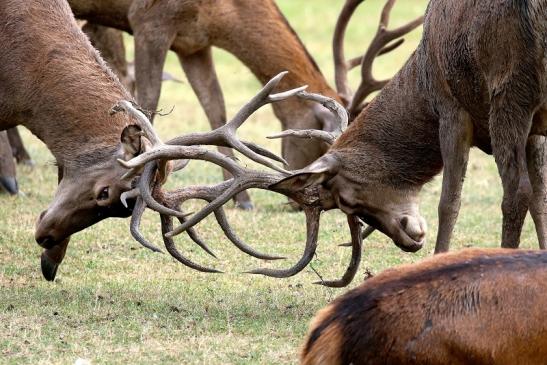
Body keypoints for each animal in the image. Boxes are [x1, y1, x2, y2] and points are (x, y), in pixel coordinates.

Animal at [66, 0, 422, 208]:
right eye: (324, 146)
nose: (301, 201)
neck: (221, 14)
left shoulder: (193, 44)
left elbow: (217, 109)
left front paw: (243, 199)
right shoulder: (148, 21)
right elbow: (146, 102)